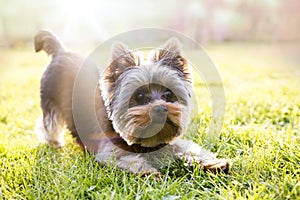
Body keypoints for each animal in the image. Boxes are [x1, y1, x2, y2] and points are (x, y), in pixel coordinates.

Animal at [34, 30, 229, 176]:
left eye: (168, 94)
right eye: (140, 96)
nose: (161, 109)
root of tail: (61, 52)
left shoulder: (169, 141)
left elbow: (188, 148)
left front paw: (213, 163)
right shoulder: (109, 152)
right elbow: (128, 159)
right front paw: (148, 172)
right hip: (49, 100)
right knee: (48, 123)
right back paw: (53, 141)